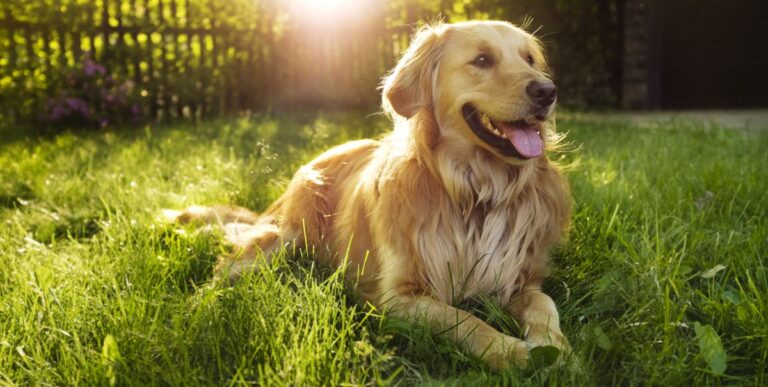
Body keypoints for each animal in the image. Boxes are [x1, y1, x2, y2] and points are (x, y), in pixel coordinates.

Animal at [166, 20, 568, 370]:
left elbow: (544, 303)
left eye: (530, 59)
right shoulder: (398, 296)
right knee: (222, 271)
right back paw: (196, 312)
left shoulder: (518, 278)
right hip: (282, 237)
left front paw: (554, 346)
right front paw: (512, 352)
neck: (476, 191)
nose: (547, 92)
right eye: (482, 60)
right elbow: (466, 320)